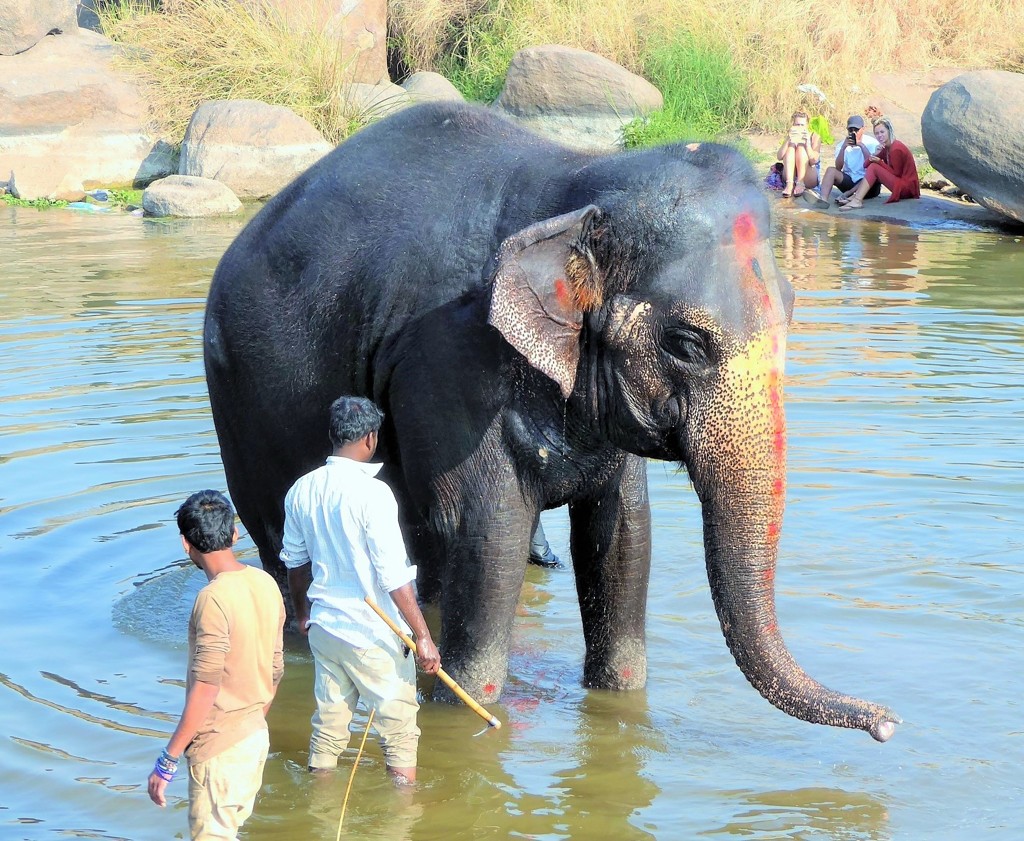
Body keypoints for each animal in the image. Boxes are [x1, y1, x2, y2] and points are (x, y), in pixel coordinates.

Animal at [203, 99, 901, 741]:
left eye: (792, 310)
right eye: (685, 344)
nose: (887, 723)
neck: (580, 186)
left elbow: (623, 534)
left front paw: (620, 704)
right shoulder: (449, 357)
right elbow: (489, 533)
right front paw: (466, 717)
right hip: (241, 398)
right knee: (289, 551)